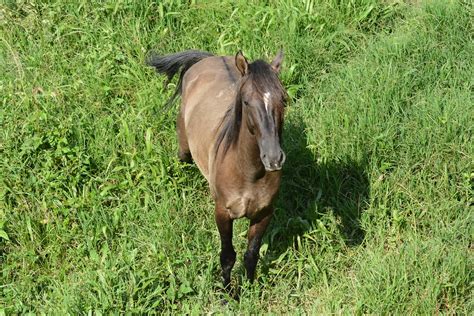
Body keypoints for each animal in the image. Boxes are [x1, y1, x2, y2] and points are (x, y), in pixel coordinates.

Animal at [148, 50, 286, 292]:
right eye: (246, 101)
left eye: (283, 100)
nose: (273, 158)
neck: (248, 172)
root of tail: (208, 58)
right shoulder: (222, 213)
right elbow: (228, 256)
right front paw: (228, 293)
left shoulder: (264, 214)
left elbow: (251, 254)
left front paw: (249, 289)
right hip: (184, 149)